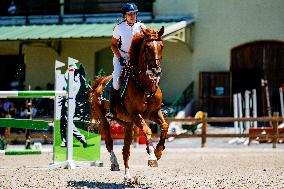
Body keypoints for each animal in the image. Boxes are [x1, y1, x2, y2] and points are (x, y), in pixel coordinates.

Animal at [89, 27, 169, 183]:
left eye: (161, 46)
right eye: (147, 47)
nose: (156, 71)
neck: (146, 85)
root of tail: (100, 82)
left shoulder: (154, 113)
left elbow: (164, 126)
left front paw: (158, 151)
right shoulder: (136, 114)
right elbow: (147, 131)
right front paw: (152, 157)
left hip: (127, 124)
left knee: (126, 150)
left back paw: (128, 176)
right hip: (104, 119)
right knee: (109, 142)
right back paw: (114, 163)